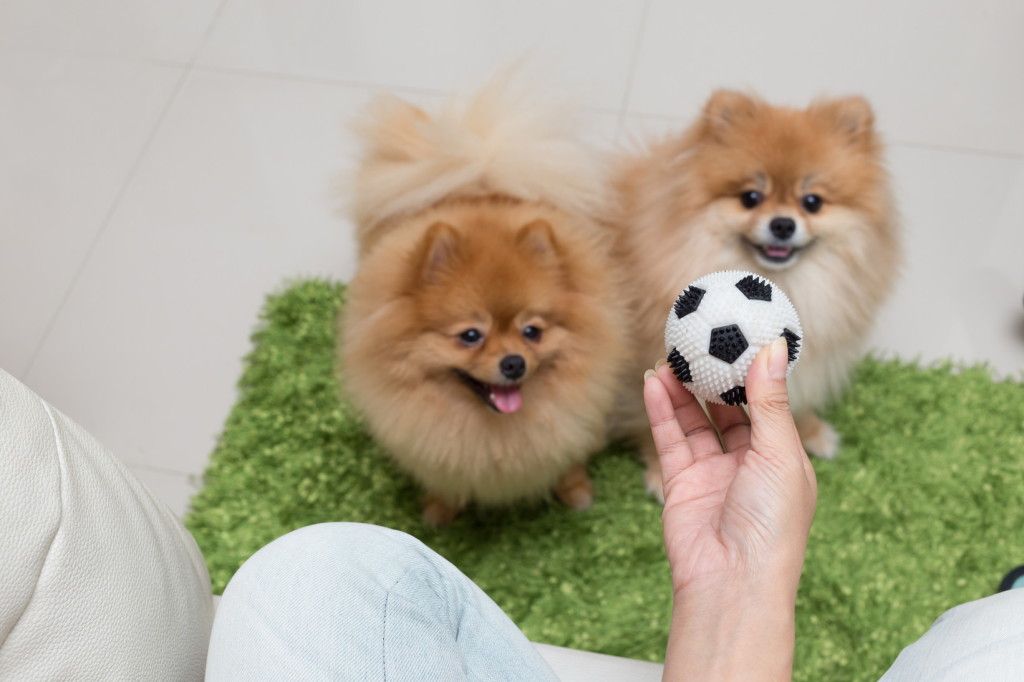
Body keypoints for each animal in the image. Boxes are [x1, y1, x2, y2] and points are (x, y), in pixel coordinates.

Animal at [339, 80, 626, 524]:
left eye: (532, 331)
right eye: (470, 335)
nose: (514, 363)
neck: (492, 431)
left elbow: (569, 461)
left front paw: (576, 491)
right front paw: (439, 511)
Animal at [610, 89, 901, 493]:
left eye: (812, 202)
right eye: (750, 197)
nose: (782, 224)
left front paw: (811, 430)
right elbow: (645, 410)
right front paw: (657, 468)